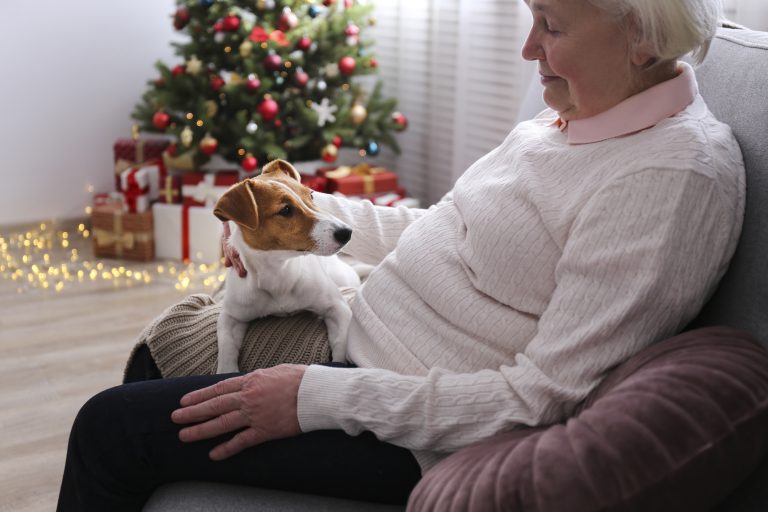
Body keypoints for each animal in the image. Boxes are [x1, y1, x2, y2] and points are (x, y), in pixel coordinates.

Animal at [212, 158, 358, 374]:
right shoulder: (231, 316)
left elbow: (341, 345)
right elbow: (226, 350)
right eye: (286, 210)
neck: (279, 270)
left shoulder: (338, 308)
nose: (347, 232)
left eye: (311, 195)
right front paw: (227, 372)